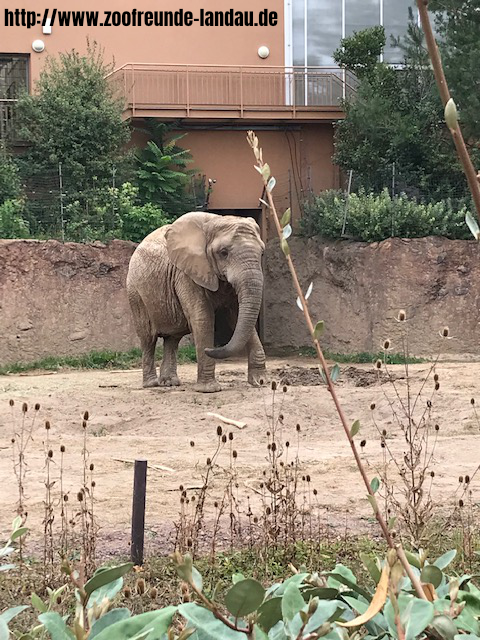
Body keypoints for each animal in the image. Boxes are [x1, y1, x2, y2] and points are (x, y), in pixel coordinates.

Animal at [125, 211, 268, 390]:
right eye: (223, 252)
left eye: (262, 253)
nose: (211, 348)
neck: (215, 220)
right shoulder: (186, 273)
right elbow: (202, 318)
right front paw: (210, 389)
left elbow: (236, 317)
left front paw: (260, 382)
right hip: (135, 293)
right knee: (148, 338)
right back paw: (152, 384)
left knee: (172, 339)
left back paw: (170, 383)